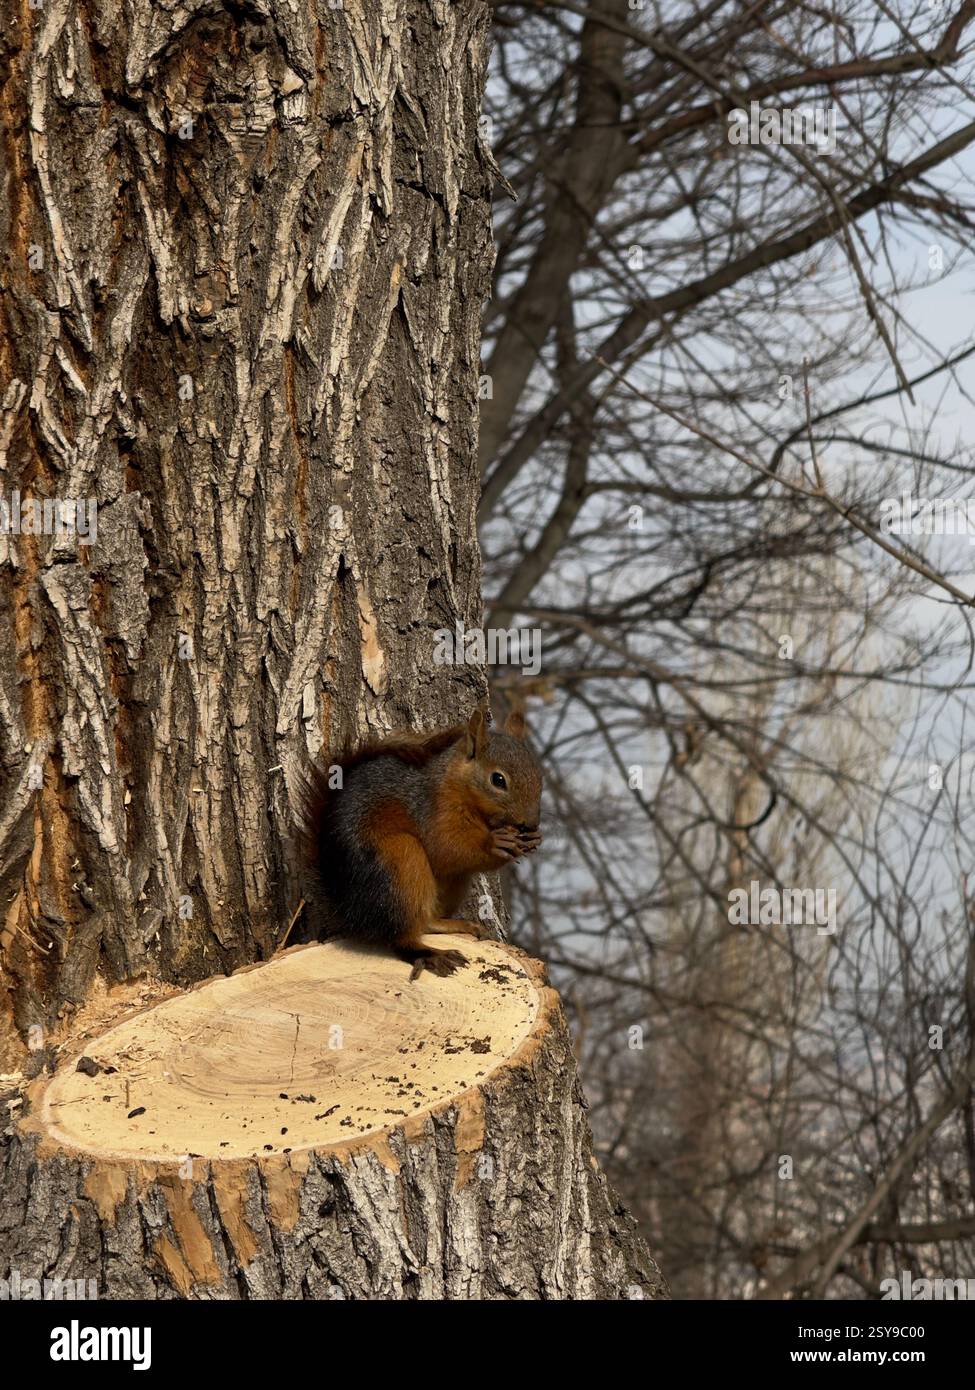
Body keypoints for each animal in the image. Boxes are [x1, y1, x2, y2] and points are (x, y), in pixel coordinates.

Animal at [297, 707, 543, 980]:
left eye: (538, 776)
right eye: (498, 780)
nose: (530, 824)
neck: (457, 785)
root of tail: (348, 911)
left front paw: (533, 840)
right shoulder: (432, 812)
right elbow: (445, 848)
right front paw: (494, 842)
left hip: (451, 882)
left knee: (426, 922)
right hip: (401, 862)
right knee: (401, 937)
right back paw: (430, 955)